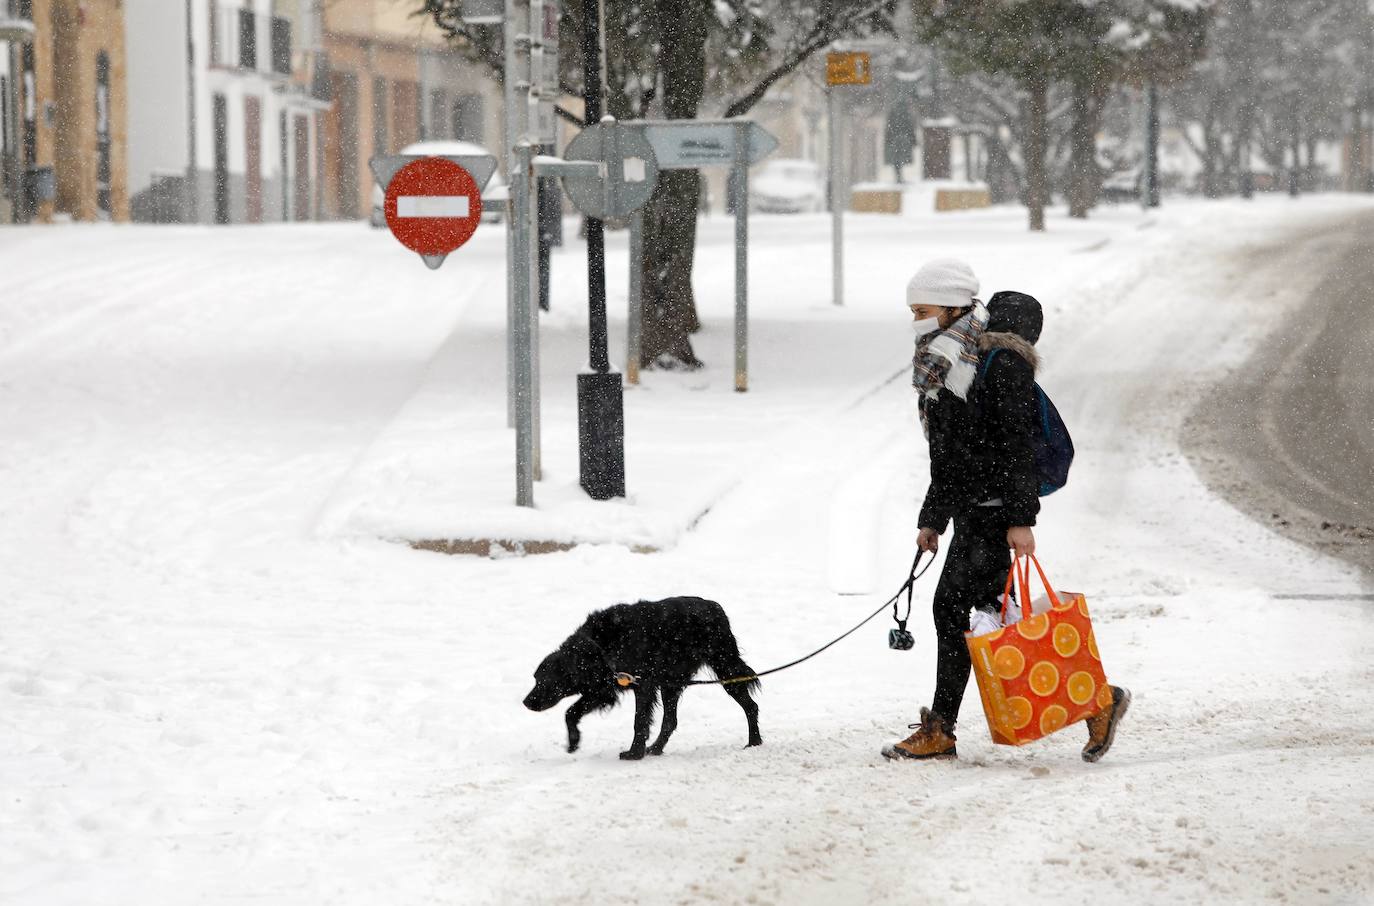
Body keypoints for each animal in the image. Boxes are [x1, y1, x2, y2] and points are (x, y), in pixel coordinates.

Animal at [522, 599, 763, 764]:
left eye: (545, 681)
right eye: (535, 678)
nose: (526, 702)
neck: (598, 647)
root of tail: (716, 608)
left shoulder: (642, 686)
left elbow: (639, 721)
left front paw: (634, 752)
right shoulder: (605, 688)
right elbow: (571, 712)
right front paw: (573, 741)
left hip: (726, 669)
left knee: (751, 706)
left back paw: (754, 742)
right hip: (670, 684)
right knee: (670, 721)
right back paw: (655, 748)